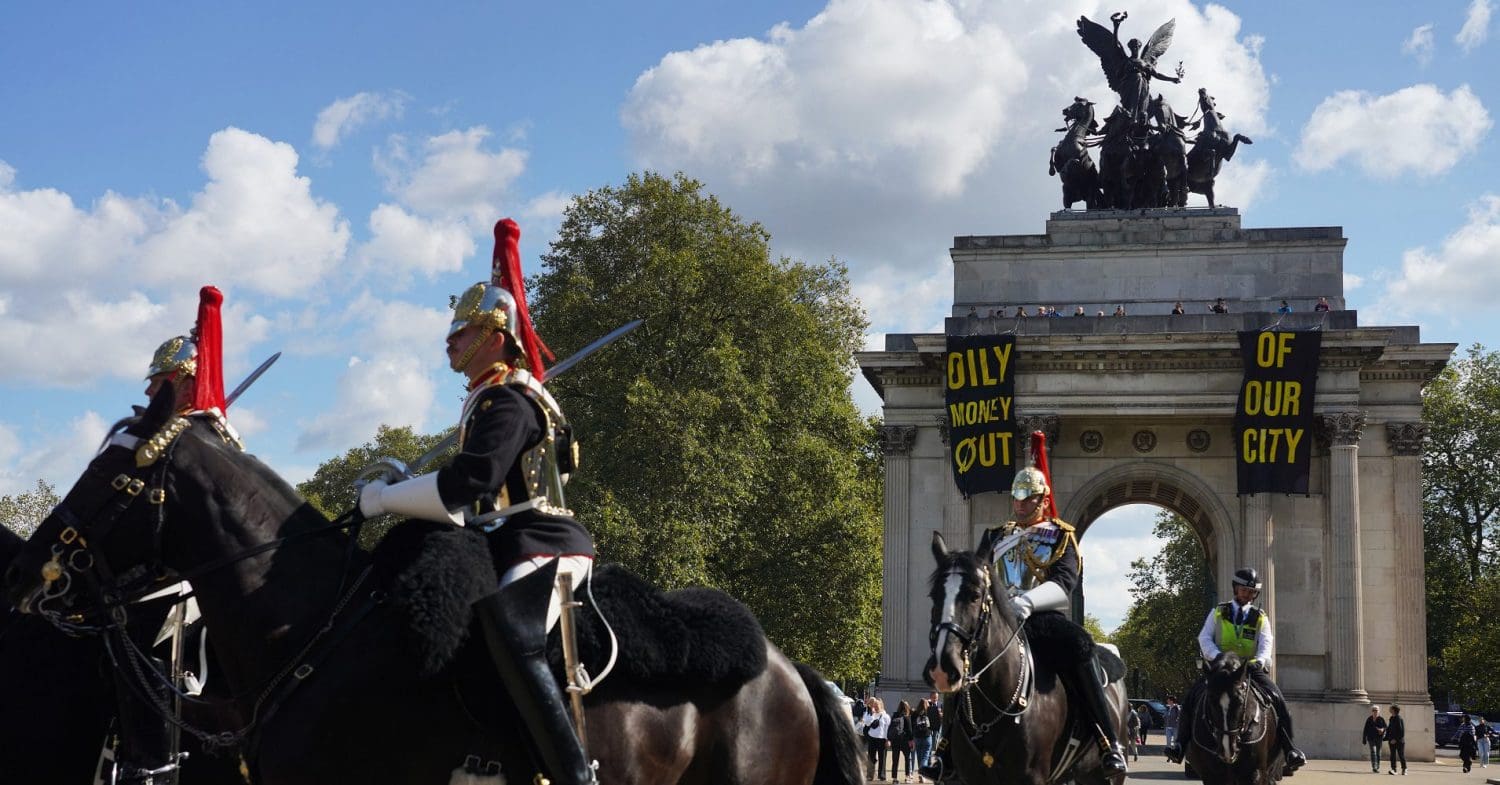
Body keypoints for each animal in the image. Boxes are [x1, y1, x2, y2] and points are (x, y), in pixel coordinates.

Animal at [924, 534, 1128, 785]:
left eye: (975, 595)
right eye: (934, 595)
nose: (942, 668)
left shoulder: (1032, 777)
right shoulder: (970, 778)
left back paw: (1113, 754)